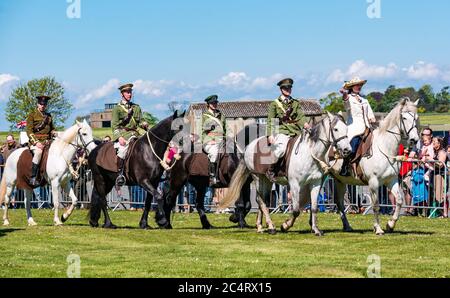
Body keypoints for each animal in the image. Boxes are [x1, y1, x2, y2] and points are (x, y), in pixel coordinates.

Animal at [221, 112, 352, 235]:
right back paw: (271, 227)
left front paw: (316, 230)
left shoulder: (315, 183)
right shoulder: (294, 184)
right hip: (257, 177)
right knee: (261, 201)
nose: (347, 150)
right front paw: (285, 226)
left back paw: (260, 227)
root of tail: (250, 145)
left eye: (346, 128)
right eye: (336, 129)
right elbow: (296, 210)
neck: (309, 154)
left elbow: (314, 207)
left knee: (262, 200)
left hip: (266, 180)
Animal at [314, 98, 420, 235]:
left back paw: (347, 226)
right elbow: (376, 205)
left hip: (339, 180)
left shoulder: (391, 180)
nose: (414, 140)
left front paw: (390, 225)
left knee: (340, 202)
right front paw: (378, 228)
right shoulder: (373, 182)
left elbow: (399, 200)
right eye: (405, 117)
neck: (385, 147)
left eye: (416, 117)